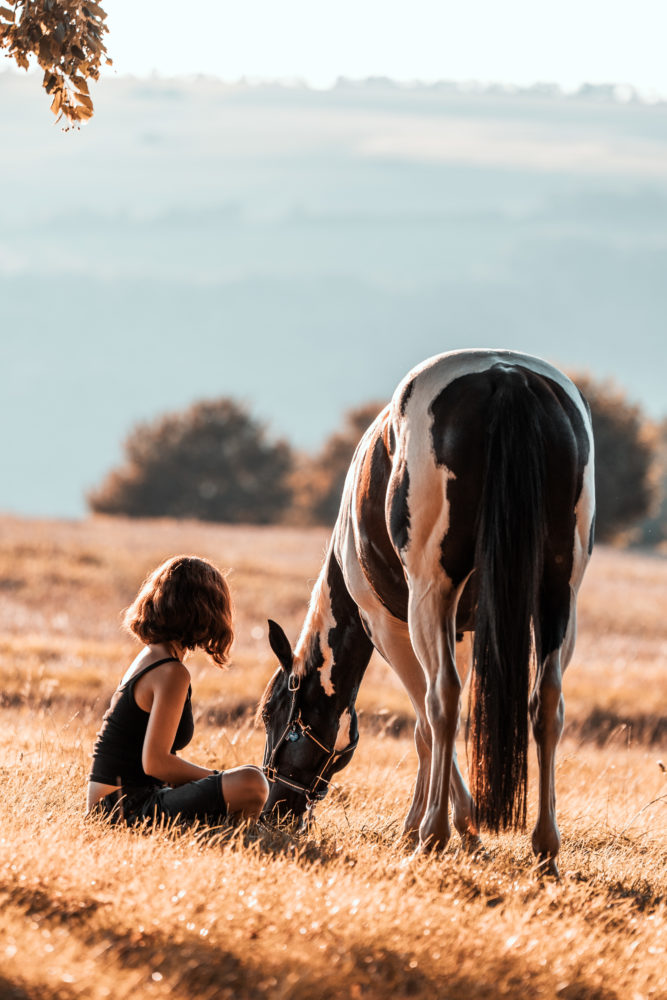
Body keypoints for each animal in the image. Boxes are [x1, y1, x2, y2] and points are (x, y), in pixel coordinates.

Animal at [258, 352, 596, 876]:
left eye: (270, 713)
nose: (275, 808)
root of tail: (507, 378)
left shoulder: (387, 625)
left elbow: (424, 723)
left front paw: (436, 827)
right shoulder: (461, 629)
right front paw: (456, 826)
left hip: (430, 595)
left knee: (445, 700)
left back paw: (434, 837)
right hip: (559, 594)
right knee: (546, 702)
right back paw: (545, 849)